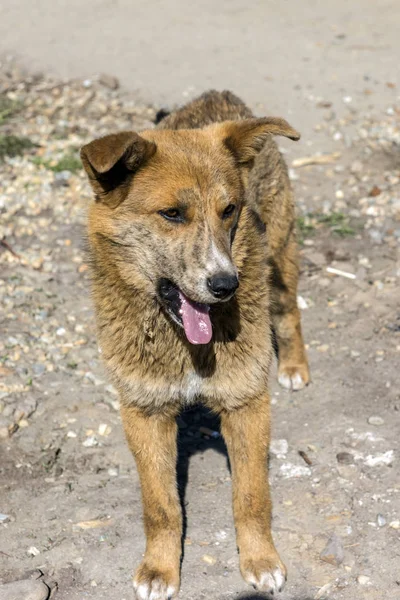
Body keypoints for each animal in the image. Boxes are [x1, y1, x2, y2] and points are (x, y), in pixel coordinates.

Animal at [80, 90, 310, 600]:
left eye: (229, 210)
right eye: (171, 214)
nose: (226, 285)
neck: (184, 345)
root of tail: (218, 96)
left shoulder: (246, 403)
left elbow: (251, 496)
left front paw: (260, 560)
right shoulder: (144, 411)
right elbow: (161, 505)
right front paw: (160, 569)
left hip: (280, 253)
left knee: (288, 311)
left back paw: (294, 365)